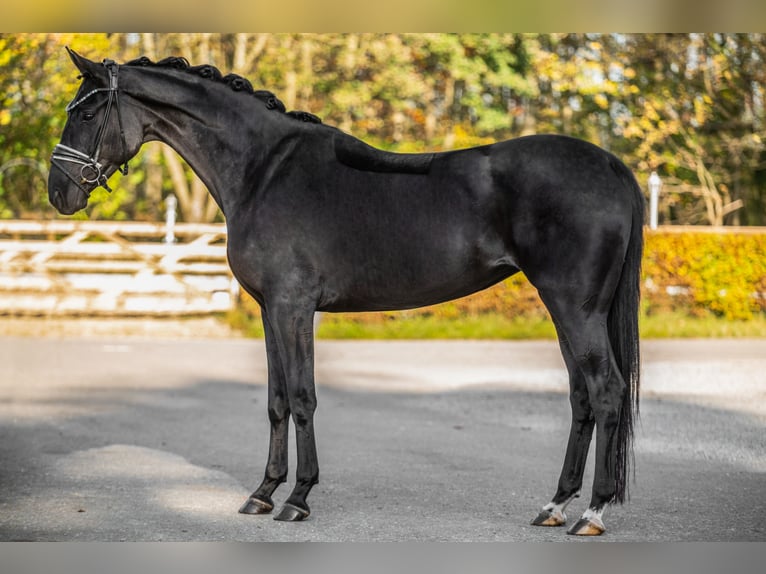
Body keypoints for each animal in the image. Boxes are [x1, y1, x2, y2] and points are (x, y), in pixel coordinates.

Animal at [48, 47, 644, 536]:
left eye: (85, 113)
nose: (58, 193)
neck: (263, 170)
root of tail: (611, 166)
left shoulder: (293, 308)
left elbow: (303, 397)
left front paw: (298, 498)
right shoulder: (270, 310)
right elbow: (276, 400)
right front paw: (263, 493)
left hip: (575, 307)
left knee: (607, 391)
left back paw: (592, 513)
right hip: (566, 309)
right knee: (582, 397)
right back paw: (556, 505)